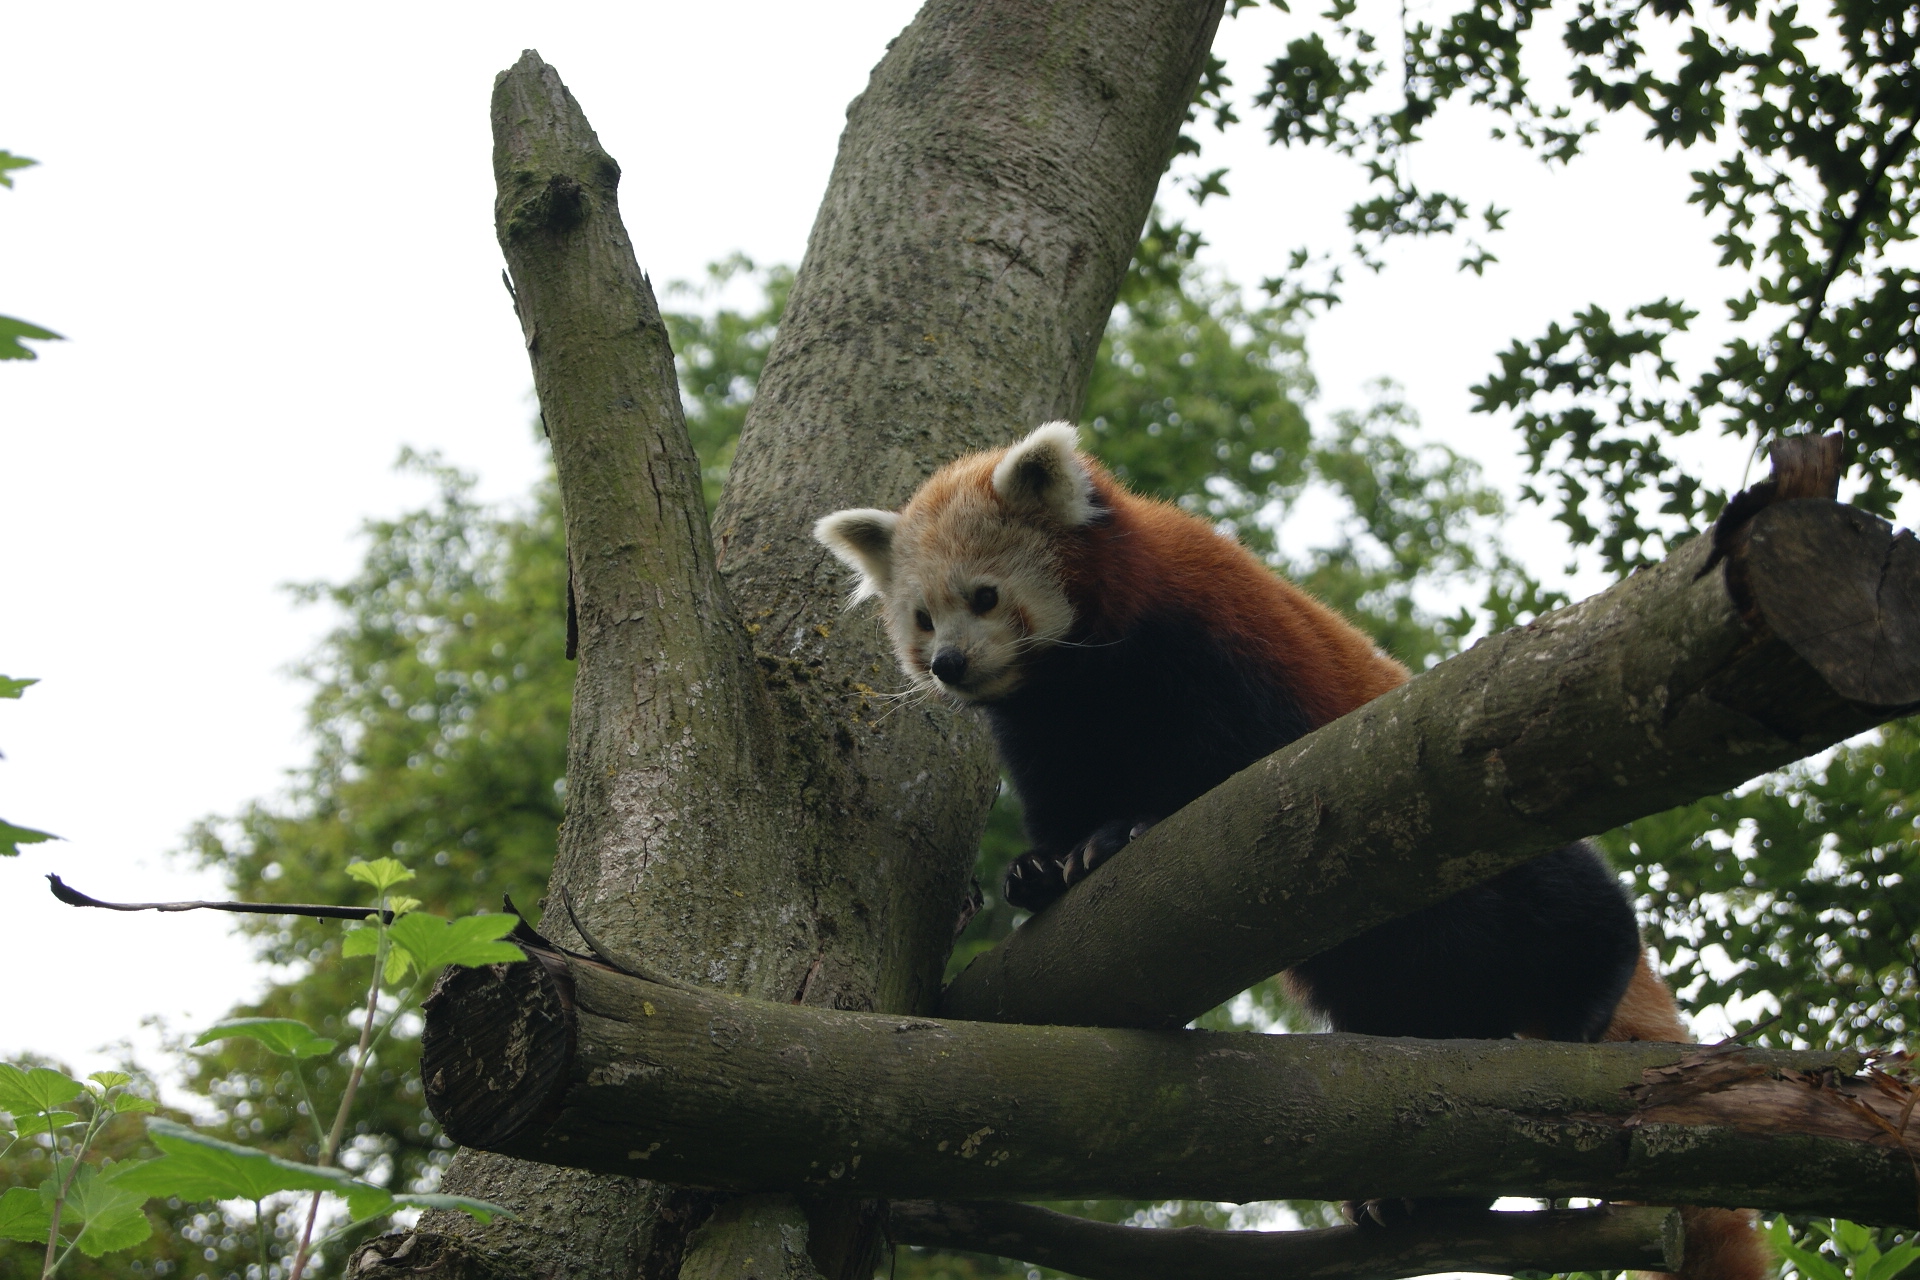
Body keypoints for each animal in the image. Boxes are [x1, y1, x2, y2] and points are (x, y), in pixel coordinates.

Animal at [817, 422, 1758, 1280]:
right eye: (921, 618)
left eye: (983, 597)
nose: (947, 664)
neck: (1081, 678)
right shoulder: (1049, 732)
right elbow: (1062, 798)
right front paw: (1044, 871)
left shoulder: (1210, 655)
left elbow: (1207, 766)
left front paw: (1122, 834)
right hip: (1404, 986)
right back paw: (1413, 1196)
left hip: (1468, 831)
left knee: (1569, 904)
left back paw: (1581, 1000)